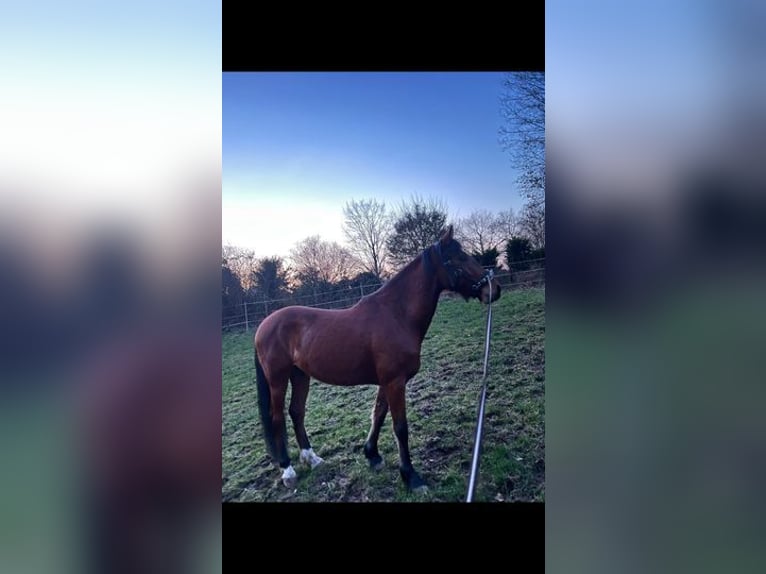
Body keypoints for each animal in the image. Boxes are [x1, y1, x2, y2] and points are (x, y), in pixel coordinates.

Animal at [255, 227, 500, 492]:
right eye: (460, 258)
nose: (494, 289)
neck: (396, 315)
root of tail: (264, 325)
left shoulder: (387, 381)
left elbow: (378, 415)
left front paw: (372, 455)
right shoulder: (395, 381)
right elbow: (400, 427)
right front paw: (411, 477)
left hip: (300, 375)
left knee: (296, 412)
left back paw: (312, 459)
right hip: (278, 379)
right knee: (277, 418)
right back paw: (288, 470)